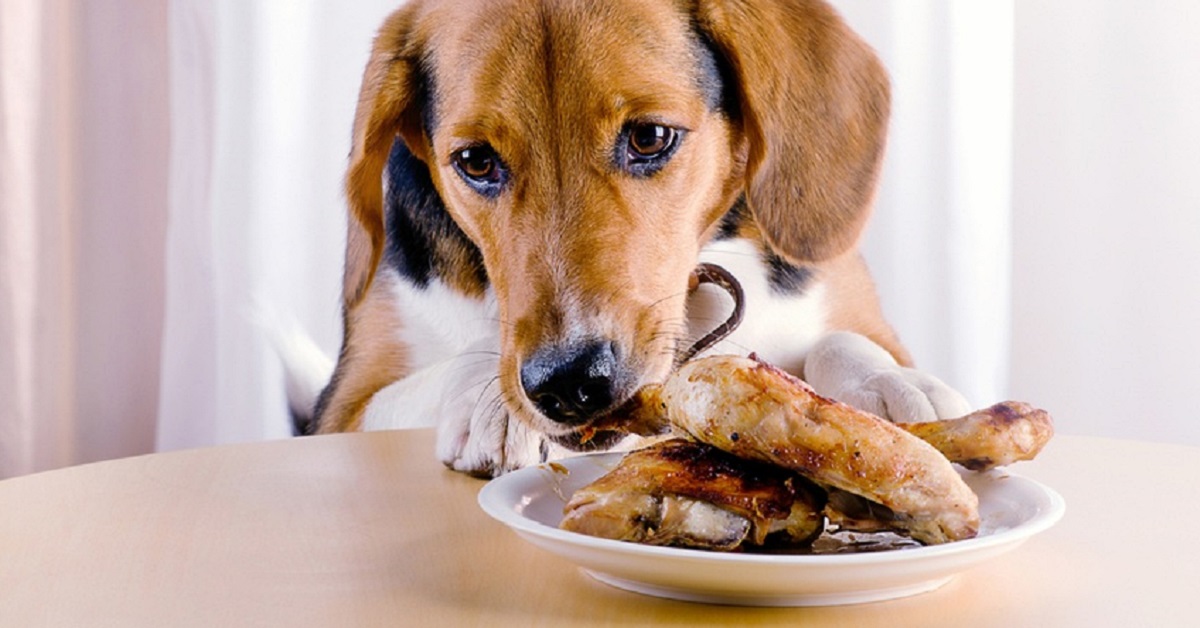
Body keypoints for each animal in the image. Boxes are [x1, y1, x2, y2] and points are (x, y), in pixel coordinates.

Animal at [292, 0, 974, 475]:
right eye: (476, 162)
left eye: (649, 137)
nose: (568, 383)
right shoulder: (343, 409)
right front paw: (494, 403)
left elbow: (840, 341)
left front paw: (886, 387)